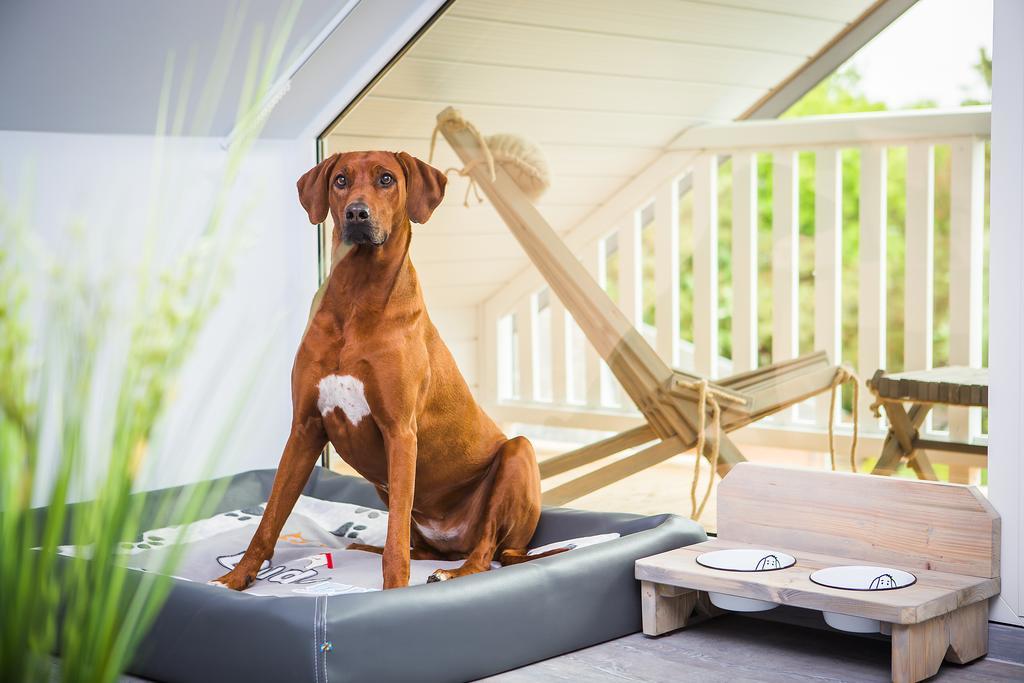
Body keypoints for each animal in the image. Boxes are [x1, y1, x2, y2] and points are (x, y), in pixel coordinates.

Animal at [216, 152, 548, 589]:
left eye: (387, 179)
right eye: (340, 180)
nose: (357, 213)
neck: (357, 297)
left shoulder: (400, 432)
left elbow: (394, 542)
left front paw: (393, 591)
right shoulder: (304, 428)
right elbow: (269, 518)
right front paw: (236, 578)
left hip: (516, 455)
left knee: (483, 550)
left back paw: (453, 572)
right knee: (421, 546)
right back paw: (367, 547)